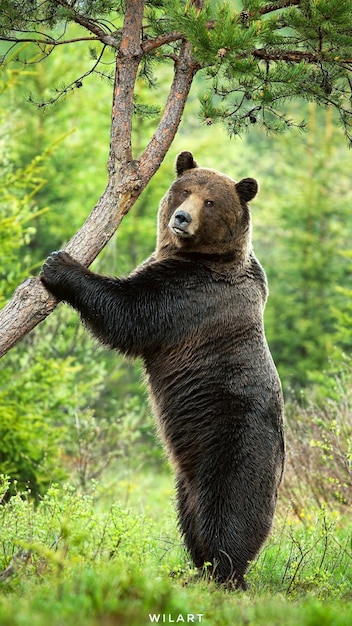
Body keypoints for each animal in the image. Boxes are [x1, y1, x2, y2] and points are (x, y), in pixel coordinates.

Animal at [41, 150, 284, 584]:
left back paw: (226, 572)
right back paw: (197, 568)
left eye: (210, 201)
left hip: (236, 447)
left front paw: (60, 264)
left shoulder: (190, 295)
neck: (198, 255)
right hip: (187, 477)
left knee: (230, 513)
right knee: (190, 515)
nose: (181, 218)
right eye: (184, 191)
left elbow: (129, 312)